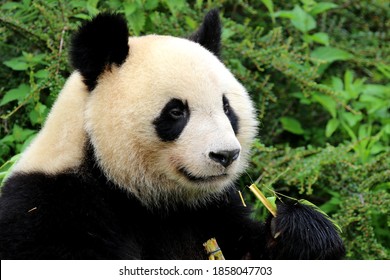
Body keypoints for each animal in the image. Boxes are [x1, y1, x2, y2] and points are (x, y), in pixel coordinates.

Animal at [0, 11, 344, 260]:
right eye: (176, 111)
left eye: (226, 107)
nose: (225, 156)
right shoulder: (51, 211)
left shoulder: (212, 210)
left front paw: (301, 231)